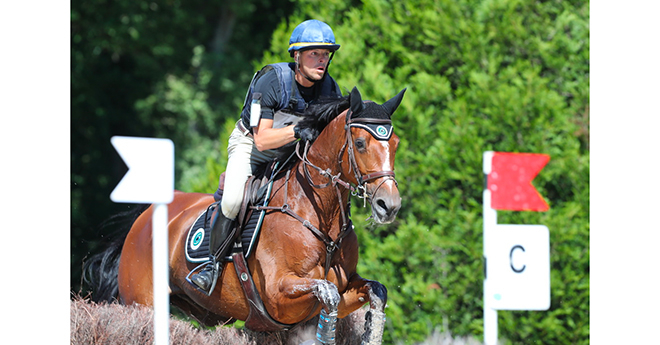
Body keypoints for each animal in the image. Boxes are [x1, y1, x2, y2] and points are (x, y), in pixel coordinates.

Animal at [85, 86, 404, 344]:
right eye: (360, 143)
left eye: (396, 143)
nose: (389, 205)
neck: (319, 215)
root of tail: (142, 219)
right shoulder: (278, 294)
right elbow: (328, 292)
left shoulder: (344, 286)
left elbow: (376, 291)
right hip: (142, 301)